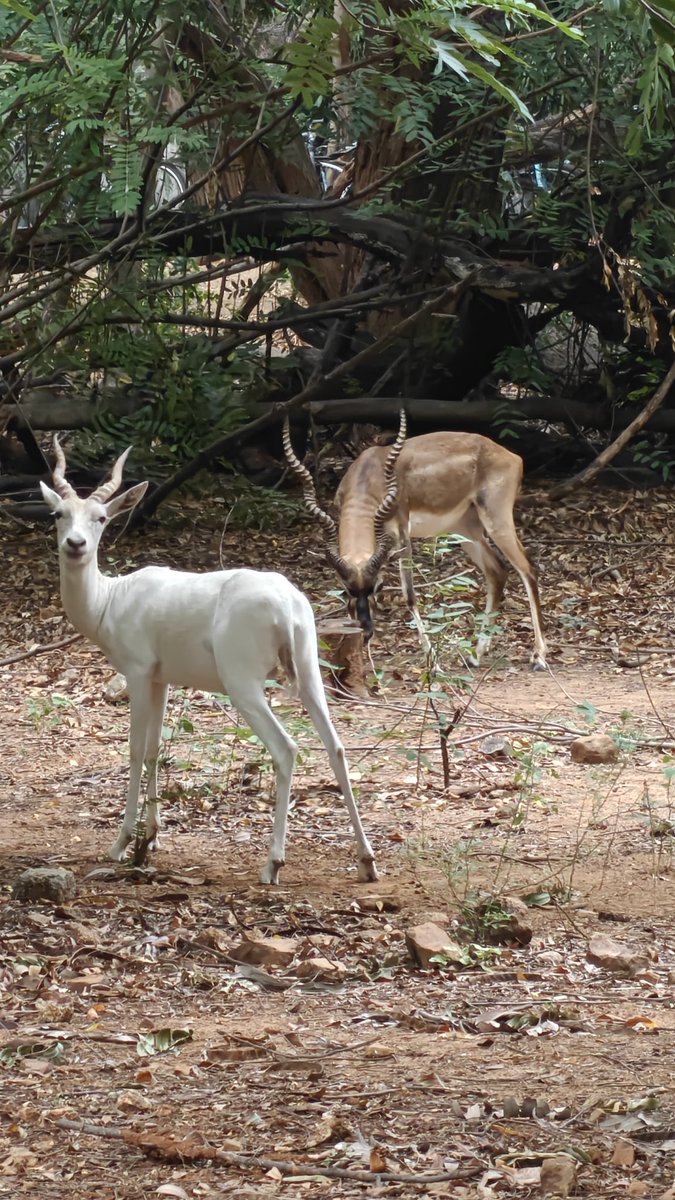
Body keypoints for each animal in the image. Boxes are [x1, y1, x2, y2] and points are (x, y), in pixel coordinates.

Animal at [40, 440, 378, 886]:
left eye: (101, 517)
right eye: (58, 513)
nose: (75, 544)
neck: (109, 601)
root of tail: (286, 605)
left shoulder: (137, 671)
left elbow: (134, 749)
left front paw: (122, 843)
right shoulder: (161, 678)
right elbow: (155, 748)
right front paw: (153, 837)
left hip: (243, 683)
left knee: (286, 748)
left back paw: (273, 863)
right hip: (308, 671)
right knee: (336, 746)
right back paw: (367, 861)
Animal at [283, 411, 547, 669]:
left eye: (375, 588)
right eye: (349, 589)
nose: (366, 632)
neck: (369, 475)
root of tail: (511, 456)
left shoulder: (402, 533)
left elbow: (409, 594)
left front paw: (435, 665)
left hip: (496, 520)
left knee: (528, 569)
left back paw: (539, 658)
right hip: (465, 527)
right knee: (497, 571)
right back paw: (476, 655)